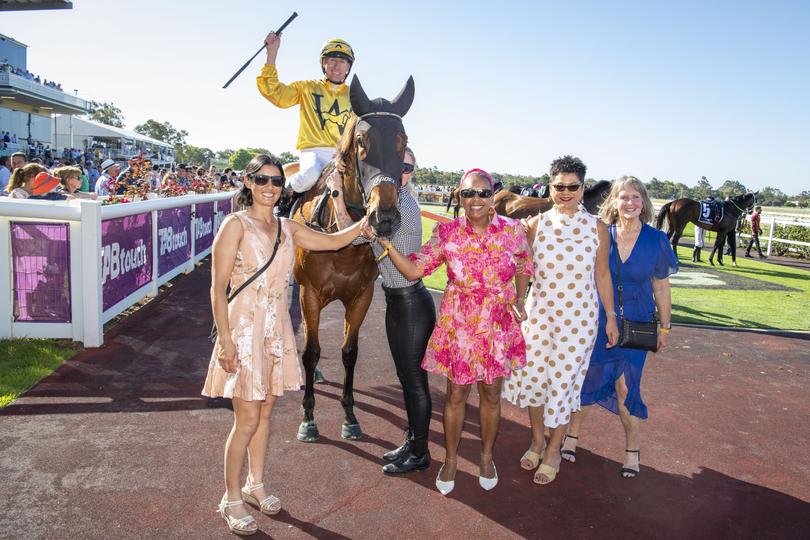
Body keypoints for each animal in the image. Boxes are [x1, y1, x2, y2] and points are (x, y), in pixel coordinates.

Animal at [288, 74, 414, 440]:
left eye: (402, 140)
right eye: (361, 141)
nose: (384, 217)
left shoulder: (361, 296)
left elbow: (350, 352)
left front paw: (349, 416)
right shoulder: (310, 292)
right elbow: (311, 351)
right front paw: (308, 417)